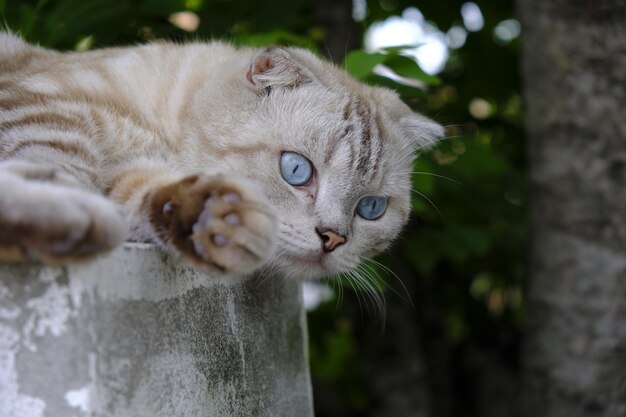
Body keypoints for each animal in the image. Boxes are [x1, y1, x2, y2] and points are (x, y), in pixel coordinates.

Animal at [0, 32, 438, 280]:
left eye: (371, 208)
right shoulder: (41, 109)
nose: (332, 239)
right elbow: (56, 161)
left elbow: (153, 196)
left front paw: (217, 218)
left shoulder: (129, 174)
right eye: (296, 170)